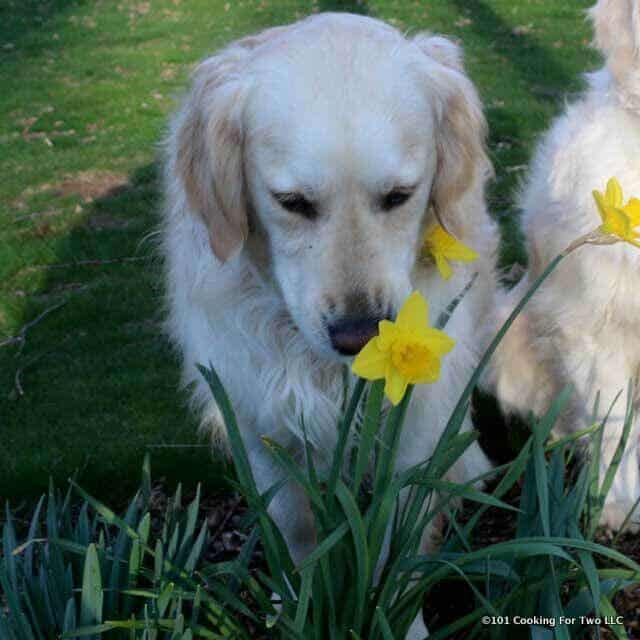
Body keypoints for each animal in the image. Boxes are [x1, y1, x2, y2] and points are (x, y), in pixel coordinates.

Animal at [162, 11, 498, 636]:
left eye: (400, 196)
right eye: (291, 202)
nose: (358, 335)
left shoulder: (415, 427)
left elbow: (397, 538)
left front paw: (401, 621)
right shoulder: (259, 424)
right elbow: (296, 527)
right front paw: (297, 603)